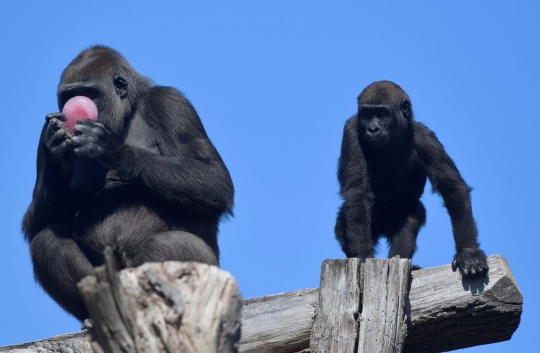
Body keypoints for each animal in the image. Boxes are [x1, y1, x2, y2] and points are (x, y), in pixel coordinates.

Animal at [23, 45, 234, 320]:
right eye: (69, 95)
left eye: (89, 94)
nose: (73, 108)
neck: (128, 111)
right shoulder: (45, 128)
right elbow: (37, 223)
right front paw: (54, 150)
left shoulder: (171, 103)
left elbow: (213, 179)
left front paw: (113, 150)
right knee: (46, 241)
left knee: (165, 246)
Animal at [336, 80, 488, 276]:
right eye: (367, 115)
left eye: (382, 114)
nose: (372, 129)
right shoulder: (351, 130)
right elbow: (357, 192)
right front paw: (362, 258)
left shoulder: (426, 138)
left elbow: (452, 188)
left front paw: (469, 253)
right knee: (343, 221)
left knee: (412, 217)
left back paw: (402, 260)